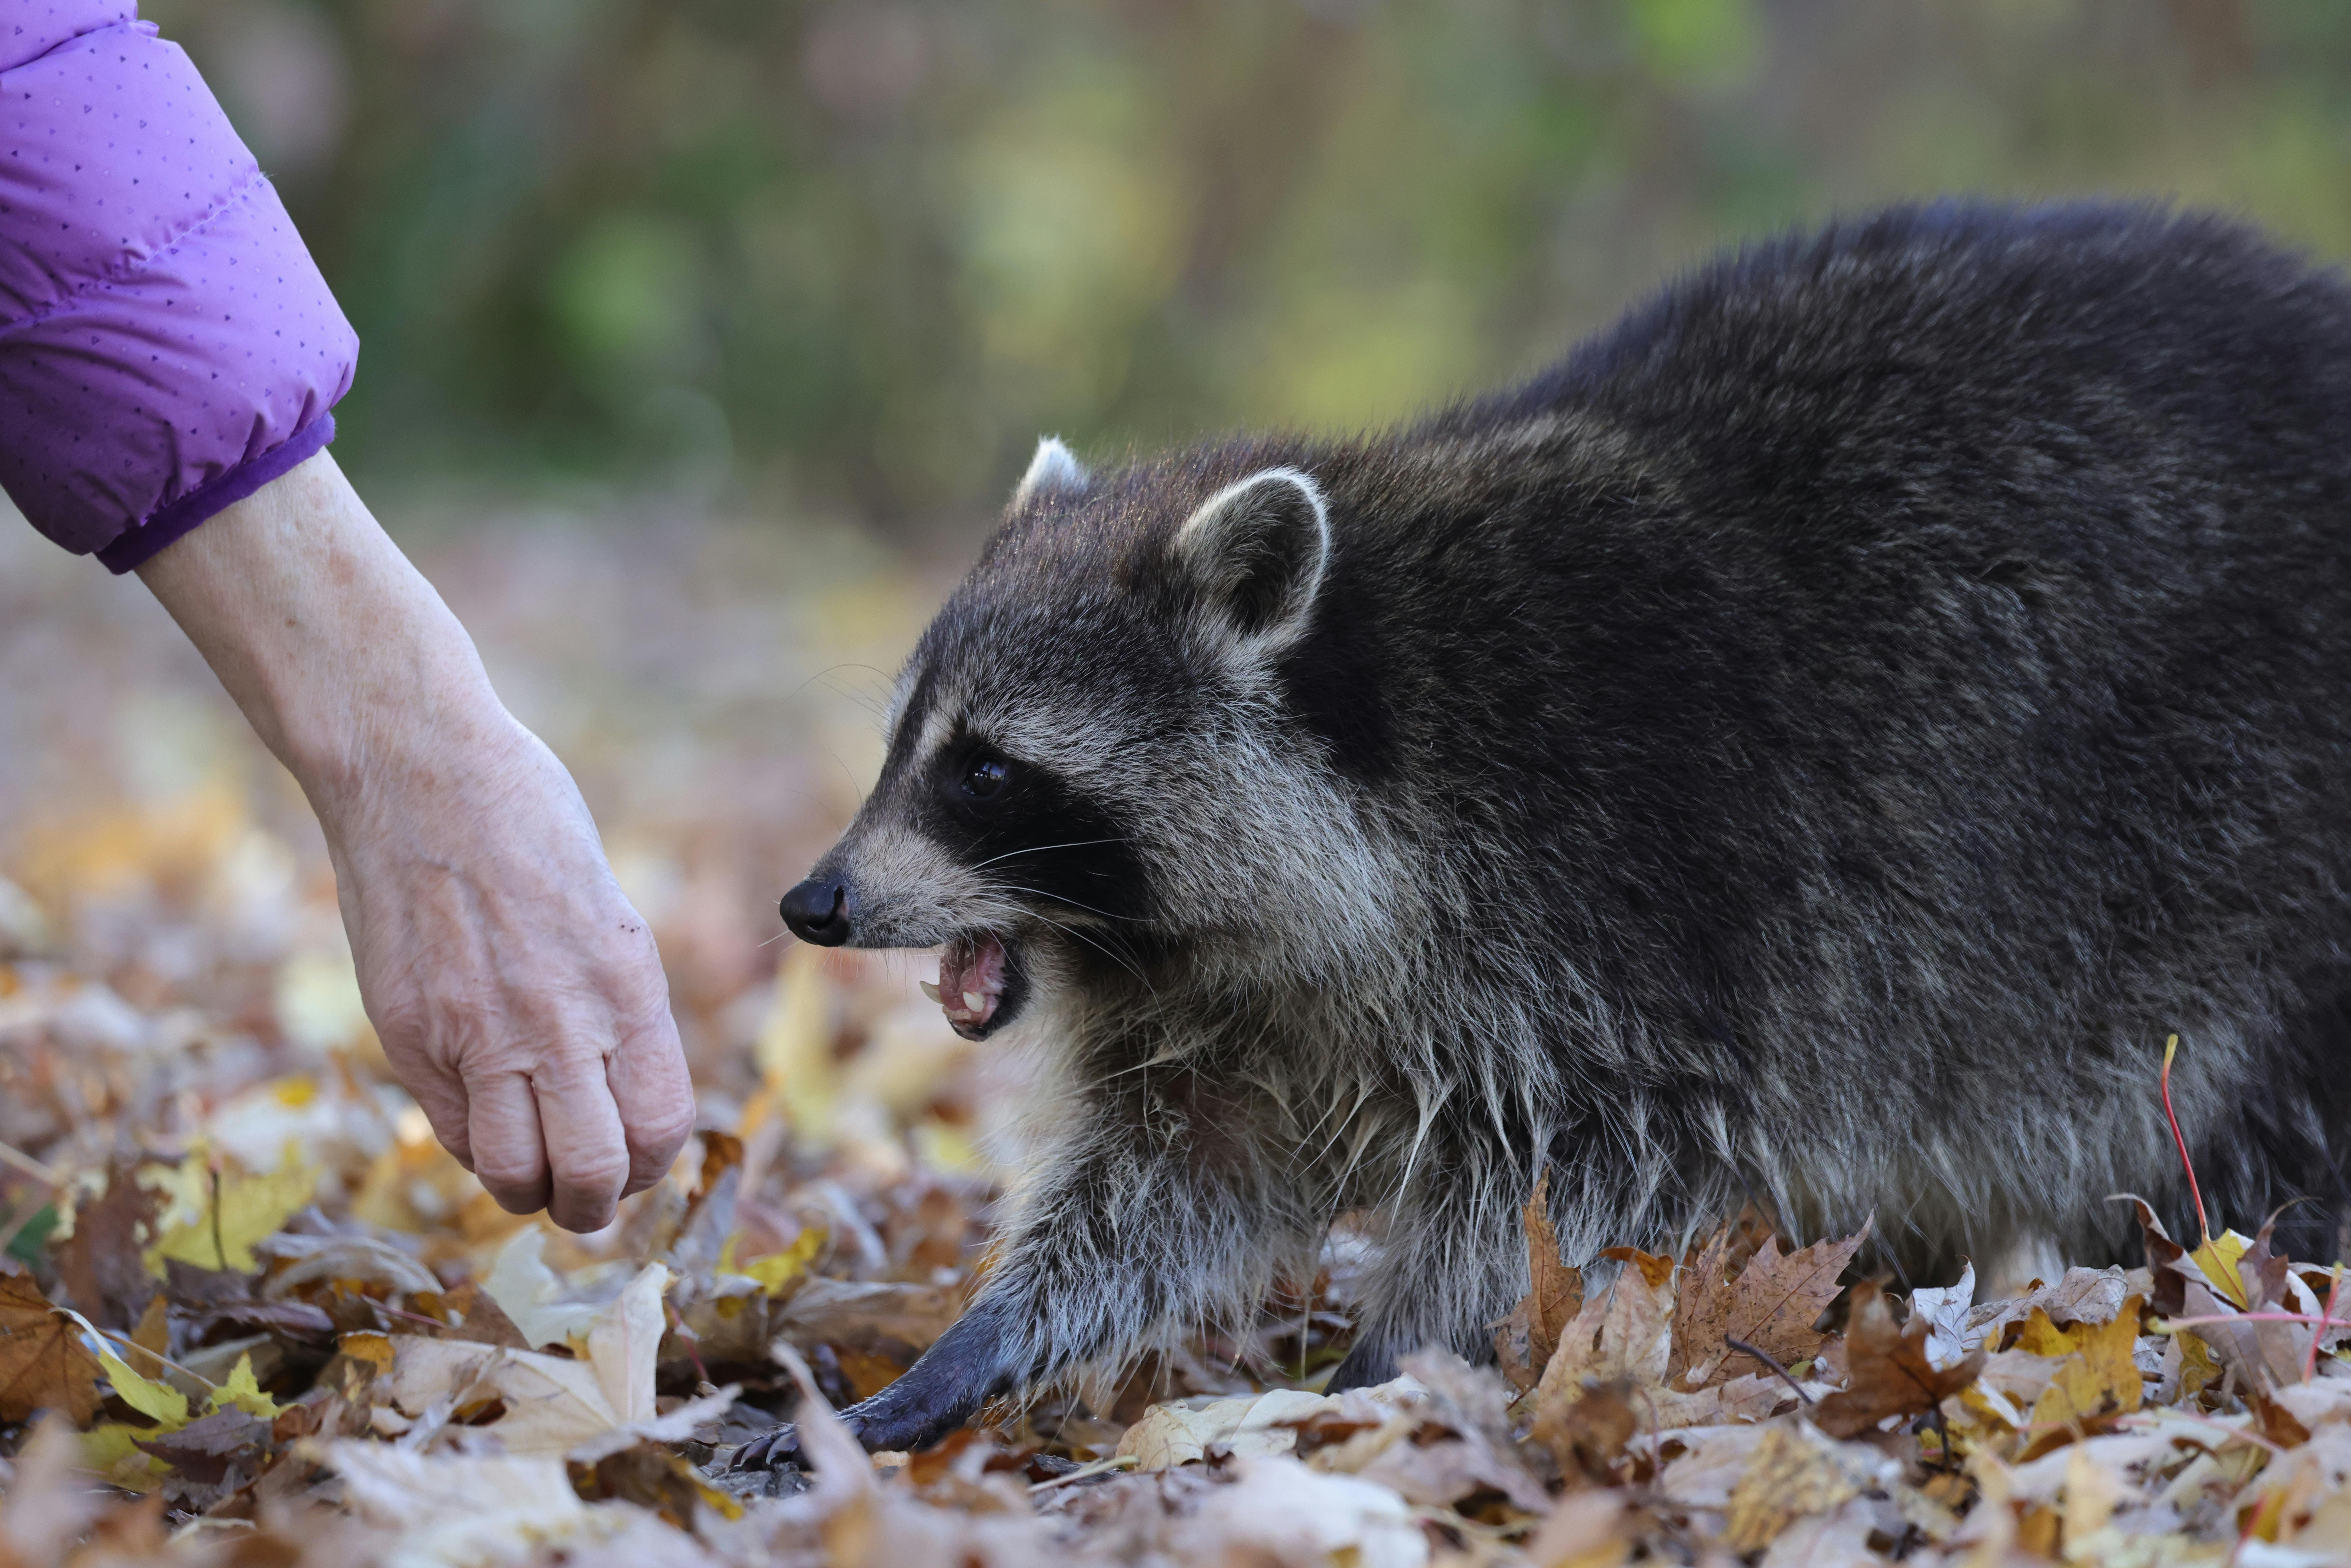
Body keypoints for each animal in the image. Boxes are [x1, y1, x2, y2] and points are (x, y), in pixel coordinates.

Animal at [765, 201, 2351, 1458]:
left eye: (985, 771)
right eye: (905, 745)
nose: (813, 905)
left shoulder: (1629, 920)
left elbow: (1563, 1185)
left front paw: (1385, 1367)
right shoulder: (1240, 1015)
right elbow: (1168, 1181)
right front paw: (979, 1341)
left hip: (2256, 867)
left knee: (2257, 1146)